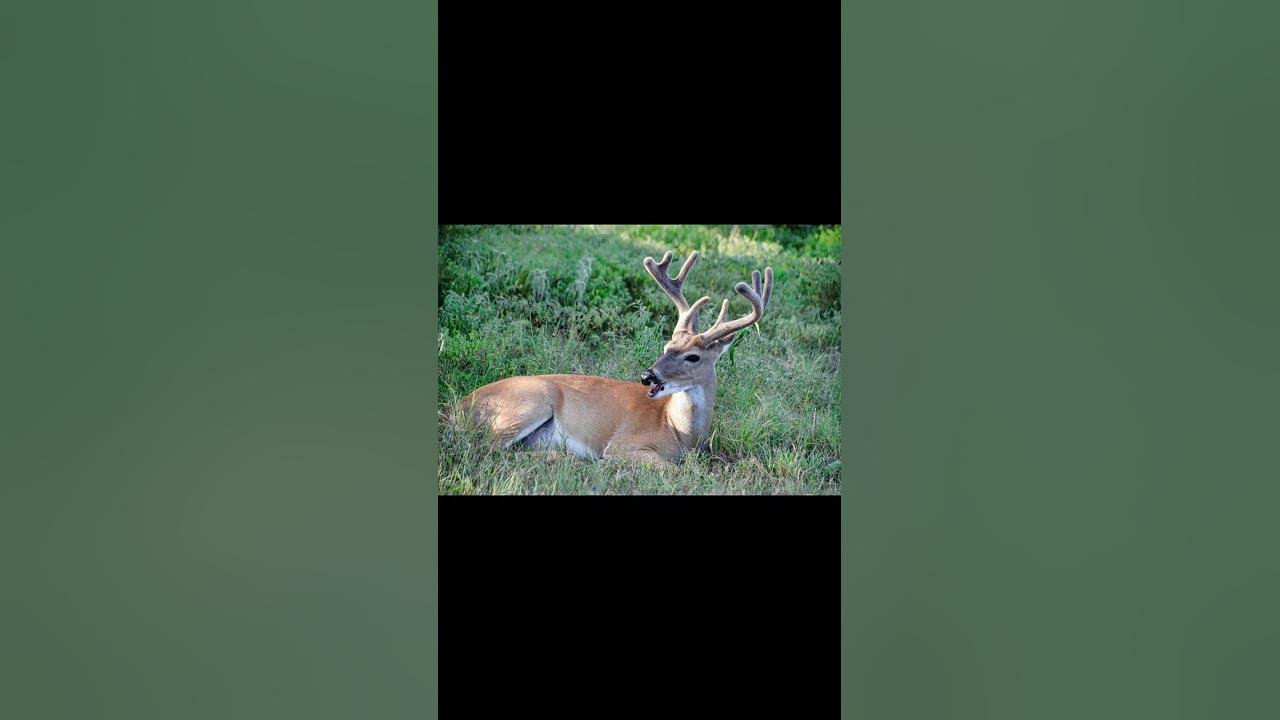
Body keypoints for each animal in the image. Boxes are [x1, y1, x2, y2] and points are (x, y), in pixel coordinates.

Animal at [457, 250, 773, 469]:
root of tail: (458, 407)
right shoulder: (624, 444)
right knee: (487, 447)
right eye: (667, 344)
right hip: (531, 401)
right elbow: (674, 470)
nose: (648, 376)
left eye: (692, 357)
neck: (679, 431)